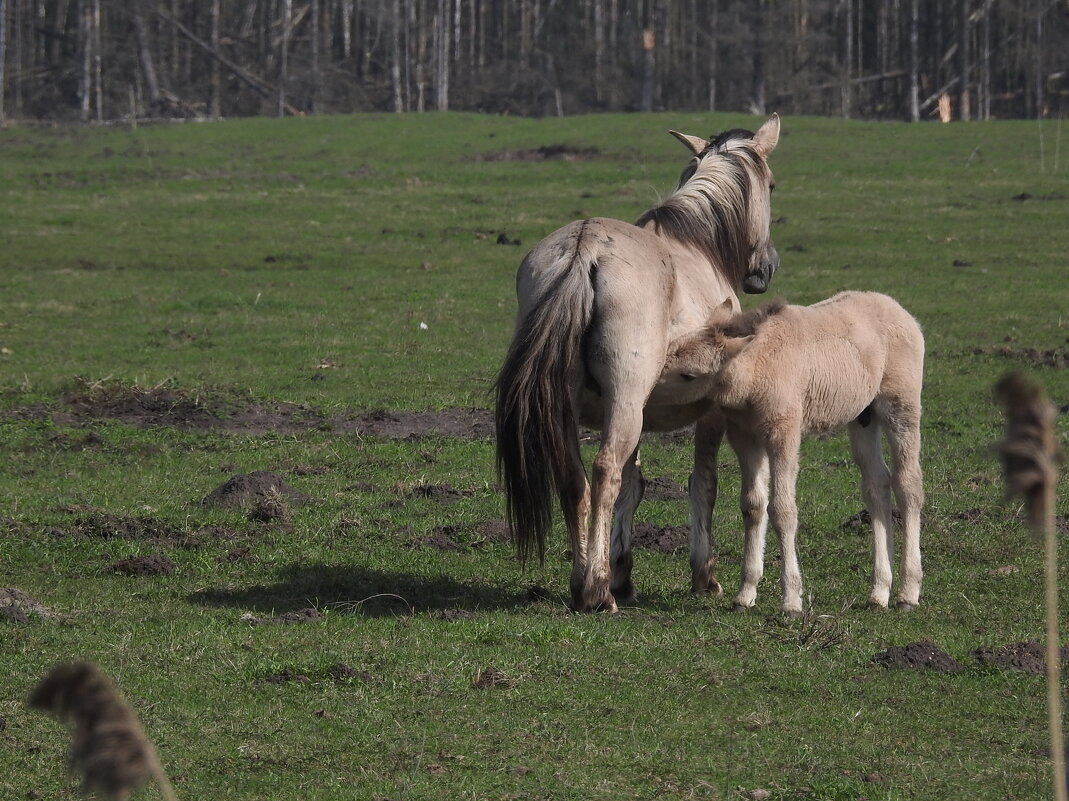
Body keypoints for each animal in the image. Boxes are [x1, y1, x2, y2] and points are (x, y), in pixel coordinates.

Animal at [496, 113, 782, 611]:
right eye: (771, 184)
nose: (765, 267)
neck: (698, 246)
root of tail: (586, 250)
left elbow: (635, 485)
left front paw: (622, 572)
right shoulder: (708, 412)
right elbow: (702, 483)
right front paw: (704, 575)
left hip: (578, 407)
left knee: (575, 480)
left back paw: (584, 580)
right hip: (625, 403)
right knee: (604, 470)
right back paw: (596, 592)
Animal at [662, 293, 923, 611]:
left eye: (688, 375)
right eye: (671, 349)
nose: (650, 387)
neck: (758, 366)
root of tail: (902, 312)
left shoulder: (783, 433)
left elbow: (782, 509)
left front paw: (791, 599)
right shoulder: (745, 437)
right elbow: (753, 505)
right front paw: (746, 593)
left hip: (901, 407)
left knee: (908, 484)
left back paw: (908, 592)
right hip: (863, 418)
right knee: (877, 485)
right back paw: (880, 591)